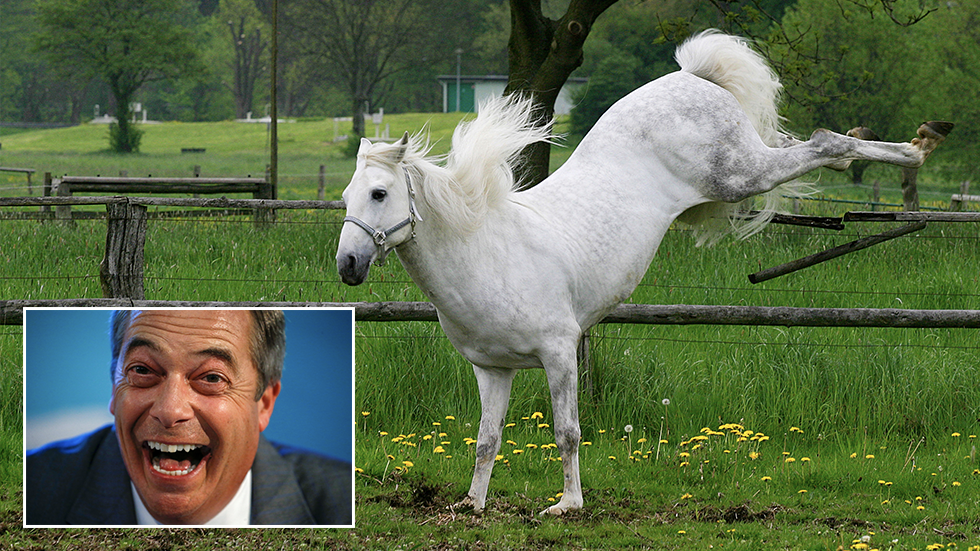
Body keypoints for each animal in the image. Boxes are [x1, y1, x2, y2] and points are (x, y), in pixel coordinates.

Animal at [336, 30, 950, 515]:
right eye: (346, 196)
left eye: (379, 193)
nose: (347, 265)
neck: (484, 250)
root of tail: (694, 78)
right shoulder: (493, 370)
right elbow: (487, 439)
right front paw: (473, 503)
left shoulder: (559, 352)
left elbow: (567, 432)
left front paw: (567, 505)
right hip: (748, 162)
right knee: (812, 144)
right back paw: (904, 144)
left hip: (740, 174)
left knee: (822, 144)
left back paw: (918, 146)